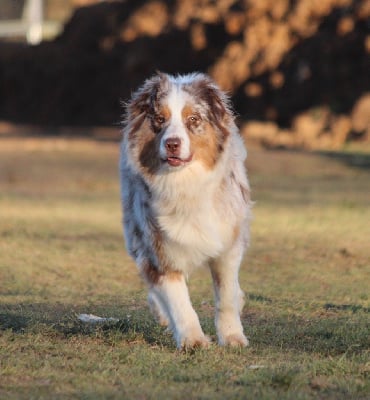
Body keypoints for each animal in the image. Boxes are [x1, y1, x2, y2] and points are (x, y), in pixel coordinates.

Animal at [120, 72, 253, 350]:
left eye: (193, 119)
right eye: (160, 119)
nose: (172, 143)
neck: (184, 184)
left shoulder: (227, 243)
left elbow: (226, 295)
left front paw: (232, 336)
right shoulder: (157, 246)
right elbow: (178, 300)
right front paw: (193, 340)